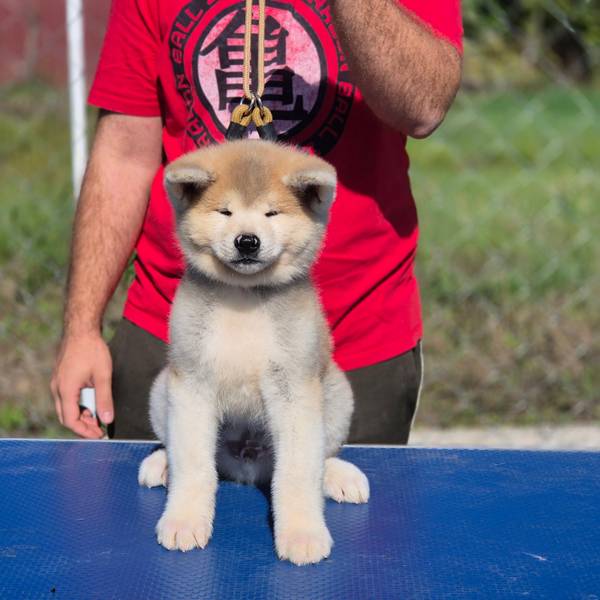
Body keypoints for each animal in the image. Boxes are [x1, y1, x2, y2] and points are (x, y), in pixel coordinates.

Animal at [138, 141, 368, 568]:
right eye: (225, 212)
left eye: (271, 213)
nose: (247, 241)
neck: (243, 298)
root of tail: (246, 463)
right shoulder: (192, 382)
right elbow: (193, 465)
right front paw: (183, 520)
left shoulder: (294, 389)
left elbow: (298, 472)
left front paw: (302, 533)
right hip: (163, 389)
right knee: (178, 448)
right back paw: (160, 464)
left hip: (336, 394)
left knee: (322, 455)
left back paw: (339, 476)